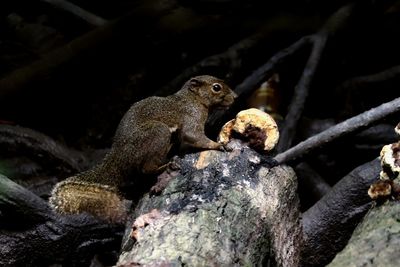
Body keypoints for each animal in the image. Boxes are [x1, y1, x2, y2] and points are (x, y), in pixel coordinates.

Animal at [50, 76, 238, 224]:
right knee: (146, 169)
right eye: (216, 87)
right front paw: (218, 145)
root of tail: (117, 159)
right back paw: (167, 165)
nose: (235, 97)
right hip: (158, 133)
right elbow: (195, 136)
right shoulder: (190, 118)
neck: (193, 99)